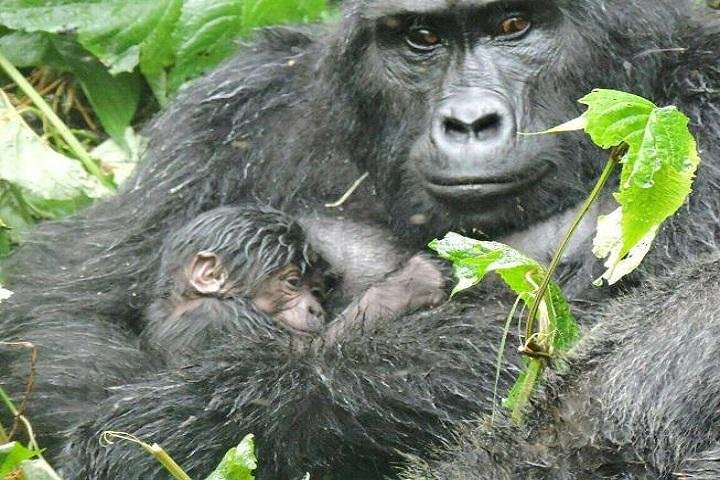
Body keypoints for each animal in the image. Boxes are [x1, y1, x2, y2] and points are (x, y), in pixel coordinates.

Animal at [0, 0, 716, 478]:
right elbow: (61, 311)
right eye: (422, 38)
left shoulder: (698, 101)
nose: (468, 122)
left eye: (514, 25)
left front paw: (170, 423)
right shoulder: (237, 103)